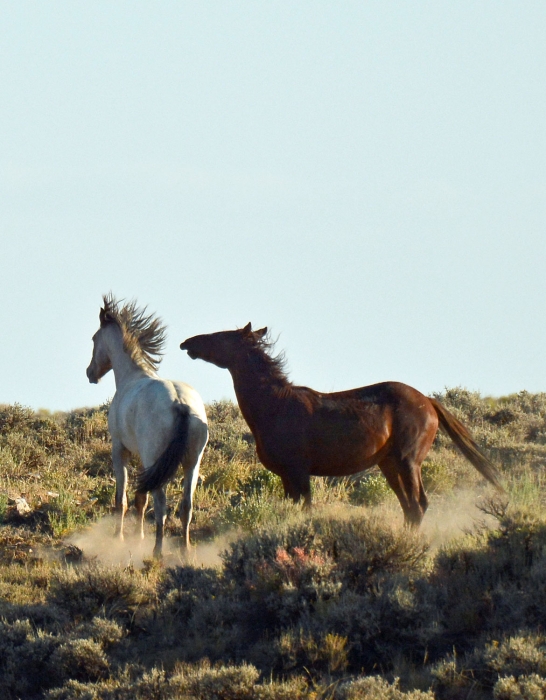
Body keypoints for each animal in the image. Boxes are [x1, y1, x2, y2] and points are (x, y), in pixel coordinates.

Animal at [86, 296, 207, 556]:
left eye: (94, 339)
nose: (90, 373)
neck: (132, 377)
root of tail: (180, 404)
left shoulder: (120, 450)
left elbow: (121, 498)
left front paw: (120, 538)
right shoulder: (145, 461)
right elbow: (140, 499)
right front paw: (138, 537)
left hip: (156, 460)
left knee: (161, 506)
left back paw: (157, 552)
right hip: (192, 463)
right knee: (186, 506)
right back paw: (185, 551)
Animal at [180, 322, 502, 524]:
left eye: (221, 336)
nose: (187, 342)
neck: (274, 406)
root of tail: (429, 401)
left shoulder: (299, 473)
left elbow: (305, 510)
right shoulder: (286, 476)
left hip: (408, 460)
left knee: (417, 505)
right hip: (388, 464)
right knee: (410, 508)